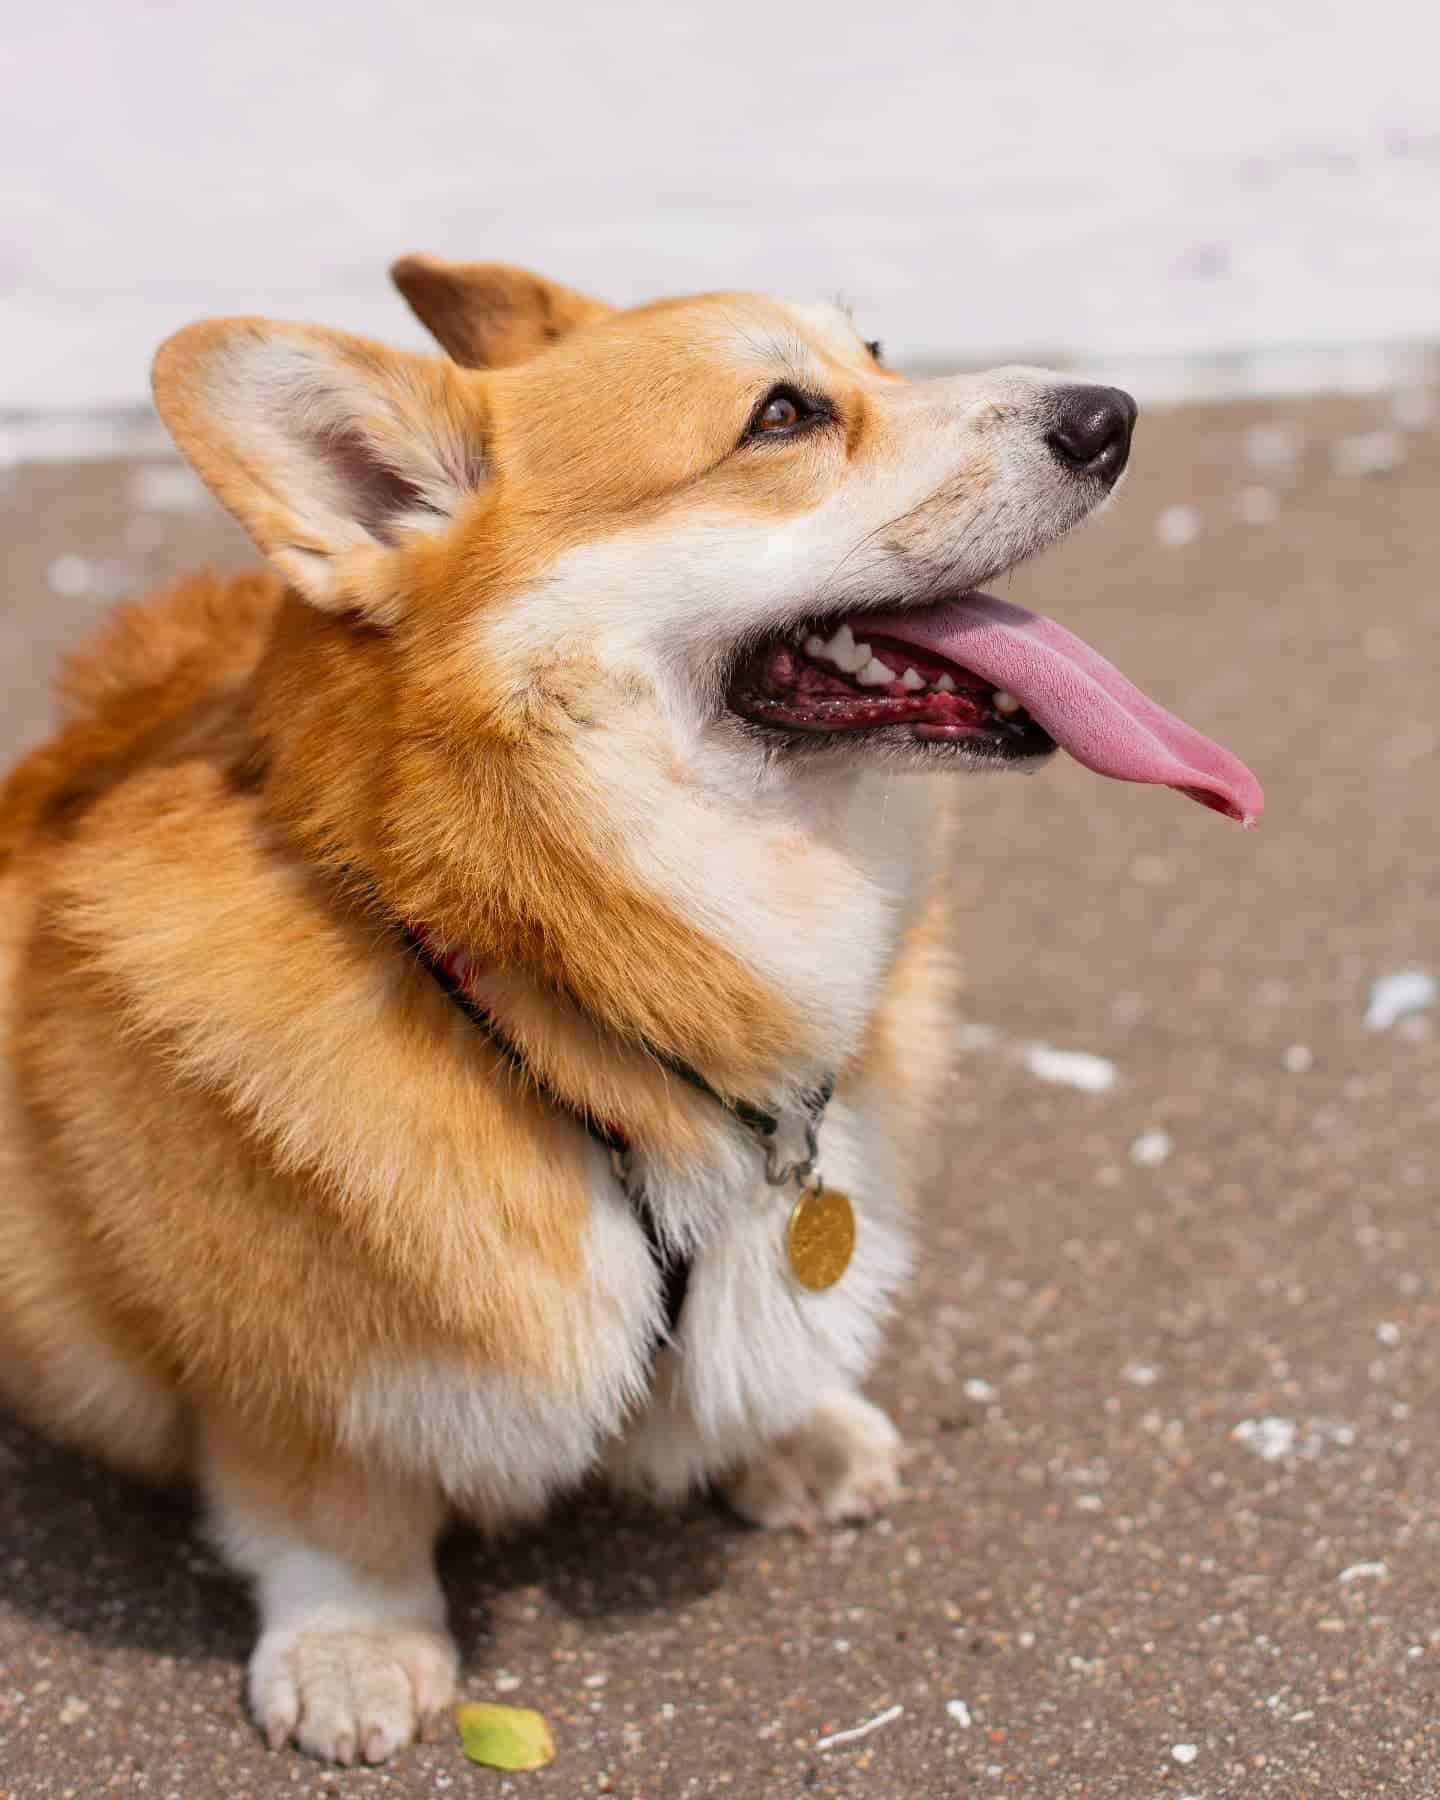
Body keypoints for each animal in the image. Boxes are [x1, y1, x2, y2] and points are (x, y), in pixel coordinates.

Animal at [0, 261, 1260, 1764]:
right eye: (781, 415)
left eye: (875, 351)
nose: (1111, 414)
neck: (566, 986)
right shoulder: (286, 1350)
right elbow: (330, 1501)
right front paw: (357, 1648)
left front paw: (795, 1427)